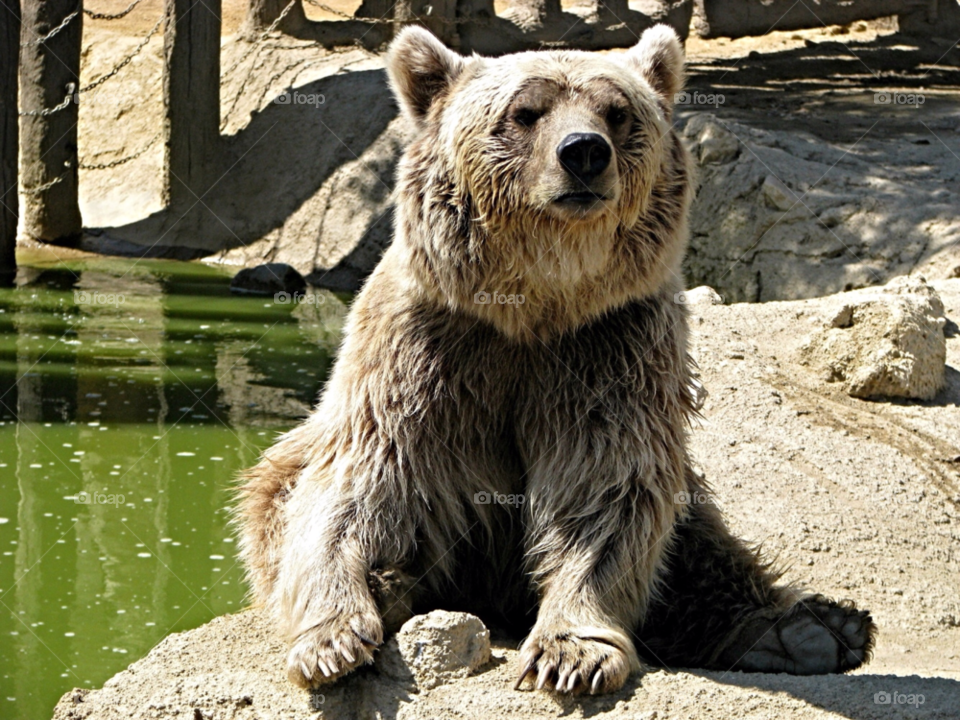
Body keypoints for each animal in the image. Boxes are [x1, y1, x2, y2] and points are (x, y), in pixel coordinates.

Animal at [236, 24, 876, 695]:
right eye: (526, 112)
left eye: (617, 112)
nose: (584, 152)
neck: (536, 302)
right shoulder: (424, 347)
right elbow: (361, 478)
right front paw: (331, 639)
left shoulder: (608, 346)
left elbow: (607, 483)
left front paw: (571, 653)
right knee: (276, 497)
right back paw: (390, 586)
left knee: (698, 540)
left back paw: (808, 630)